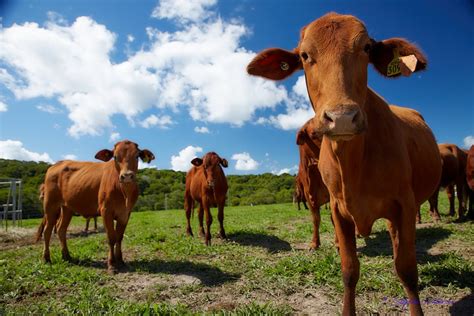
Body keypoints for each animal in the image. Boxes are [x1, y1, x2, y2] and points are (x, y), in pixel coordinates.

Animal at [38, 139, 156, 272]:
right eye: (115, 157)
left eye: (136, 156)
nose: (126, 176)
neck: (124, 192)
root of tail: (56, 164)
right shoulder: (106, 211)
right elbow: (111, 237)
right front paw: (111, 264)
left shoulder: (126, 213)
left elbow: (119, 237)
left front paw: (120, 261)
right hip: (50, 205)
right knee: (47, 231)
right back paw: (46, 258)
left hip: (67, 208)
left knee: (61, 229)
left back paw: (67, 256)